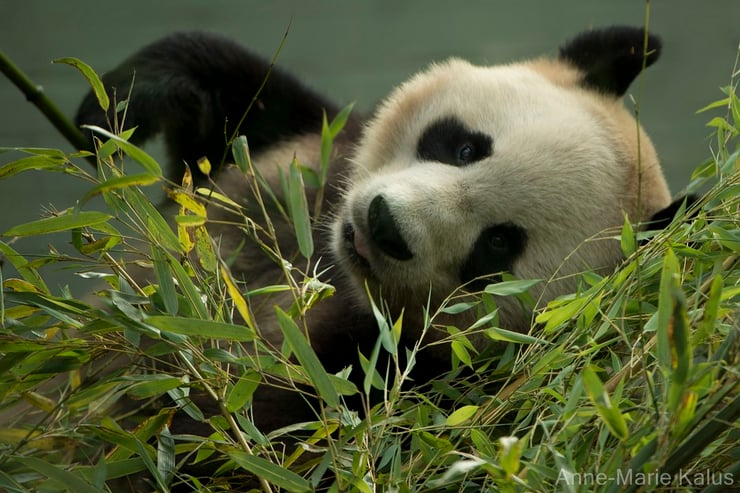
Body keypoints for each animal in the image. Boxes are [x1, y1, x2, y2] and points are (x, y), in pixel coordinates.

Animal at [75, 27, 689, 435]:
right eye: (465, 147)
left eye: (497, 245)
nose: (384, 225)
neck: (331, 269)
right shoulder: (299, 164)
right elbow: (236, 104)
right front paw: (115, 109)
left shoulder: (416, 389)